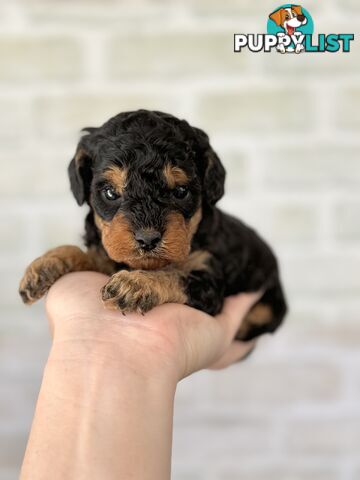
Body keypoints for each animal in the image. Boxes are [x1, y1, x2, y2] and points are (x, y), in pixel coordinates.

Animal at [20, 109, 290, 342]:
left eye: (181, 191)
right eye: (110, 193)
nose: (147, 239)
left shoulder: (208, 278)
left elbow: (174, 274)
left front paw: (135, 285)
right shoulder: (108, 255)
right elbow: (88, 254)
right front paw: (45, 265)